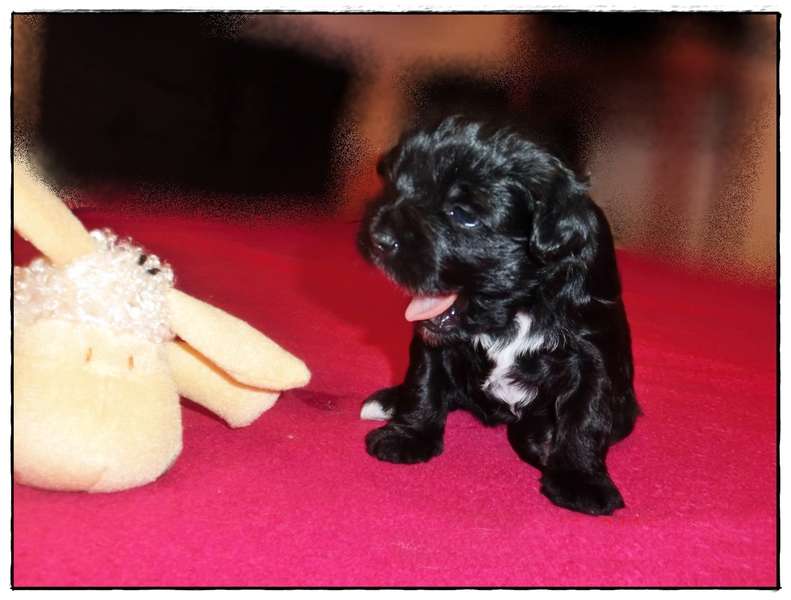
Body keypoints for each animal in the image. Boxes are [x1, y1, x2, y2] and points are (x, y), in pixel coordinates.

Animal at [356, 116, 640, 516]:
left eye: (463, 215)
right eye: (395, 186)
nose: (377, 237)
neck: (519, 306)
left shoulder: (592, 351)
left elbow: (585, 413)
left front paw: (580, 479)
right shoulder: (434, 341)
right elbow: (424, 382)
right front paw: (408, 435)